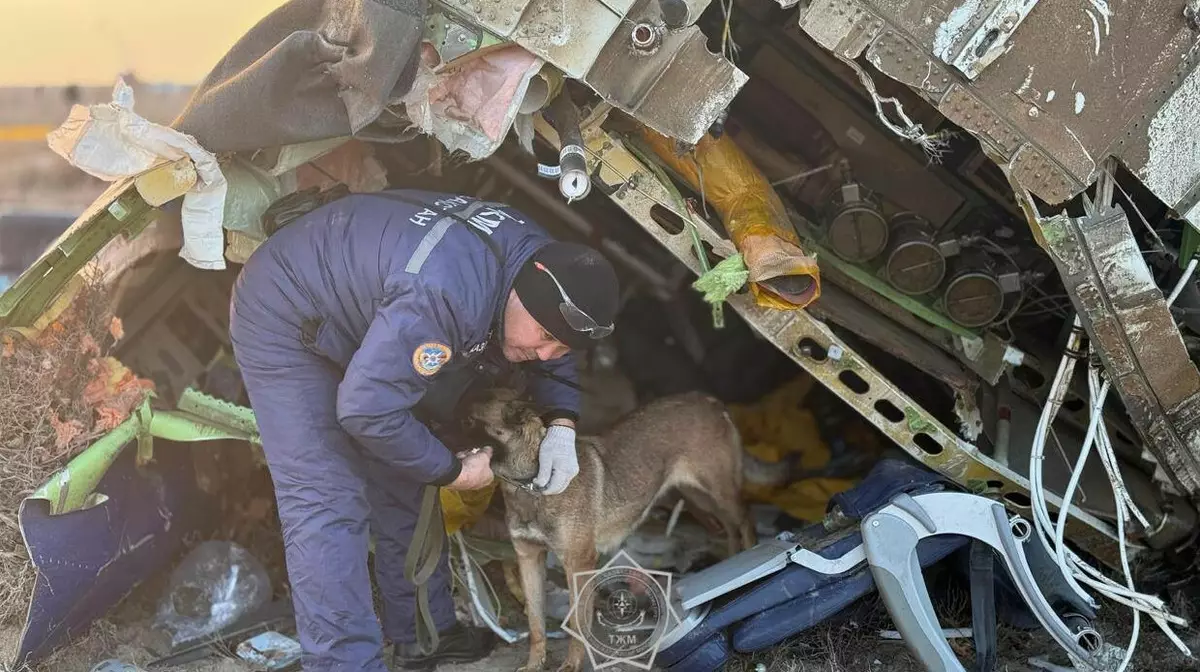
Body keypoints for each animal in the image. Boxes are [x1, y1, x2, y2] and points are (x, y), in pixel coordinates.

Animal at [465, 388, 753, 672]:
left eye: (468, 421)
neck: (531, 483)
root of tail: (708, 400)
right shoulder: (529, 558)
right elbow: (536, 623)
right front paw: (534, 664)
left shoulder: (579, 563)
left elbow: (577, 622)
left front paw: (571, 665)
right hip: (697, 496)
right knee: (729, 527)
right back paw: (733, 558)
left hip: (718, 492)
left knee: (744, 521)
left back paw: (750, 561)